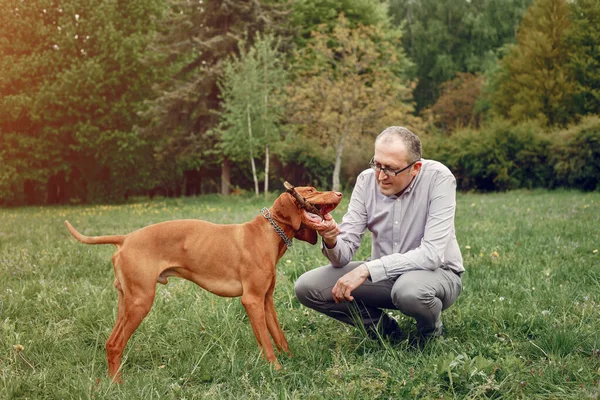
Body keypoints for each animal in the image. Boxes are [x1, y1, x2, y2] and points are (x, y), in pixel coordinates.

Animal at [64, 186, 342, 382]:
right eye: (310, 190)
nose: (340, 192)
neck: (267, 233)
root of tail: (126, 238)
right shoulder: (251, 300)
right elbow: (266, 341)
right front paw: (276, 368)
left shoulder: (266, 300)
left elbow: (278, 336)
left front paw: (291, 362)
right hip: (140, 302)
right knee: (116, 344)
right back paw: (118, 385)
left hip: (128, 302)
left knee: (111, 343)